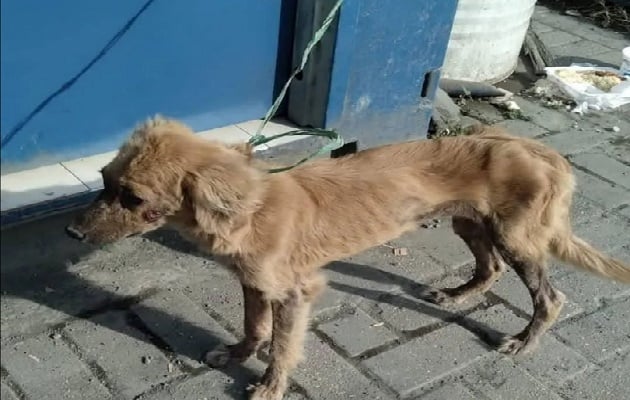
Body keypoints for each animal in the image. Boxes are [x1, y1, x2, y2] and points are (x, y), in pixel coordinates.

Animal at [66, 116, 628, 400]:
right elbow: (253, 326)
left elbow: (283, 347)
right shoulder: (253, 282)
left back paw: (523, 343)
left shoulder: (297, 293)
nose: (73, 232)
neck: (250, 208)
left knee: (552, 298)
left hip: (517, 238)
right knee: (487, 269)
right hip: (471, 223)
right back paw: (455, 295)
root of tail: (538, 149)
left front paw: (269, 386)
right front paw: (238, 353)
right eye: (103, 181)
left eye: (133, 197)